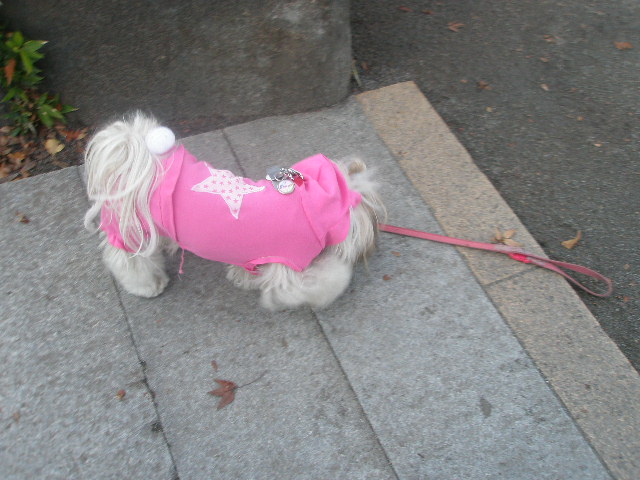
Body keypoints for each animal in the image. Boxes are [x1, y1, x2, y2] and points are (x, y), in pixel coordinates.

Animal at [83, 112, 385, 310]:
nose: (372, 249)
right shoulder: (288, 265)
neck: (309, 203)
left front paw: (244, 279)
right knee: (125, 259)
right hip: (134, 229)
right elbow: (323, 281)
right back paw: (147, 284)